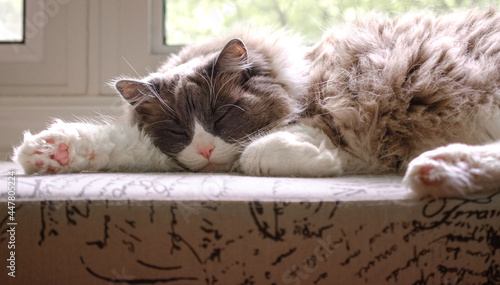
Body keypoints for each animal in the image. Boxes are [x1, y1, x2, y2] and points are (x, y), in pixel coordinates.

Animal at [11, 8, 500, 195]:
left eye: (221, 115)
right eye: (179, 130)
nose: (206, 150)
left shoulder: (330, 118)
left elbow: (256, 152)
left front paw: (324, 165)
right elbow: (122, 144)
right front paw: (47, 152)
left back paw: (434, 170)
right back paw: (439, 172)